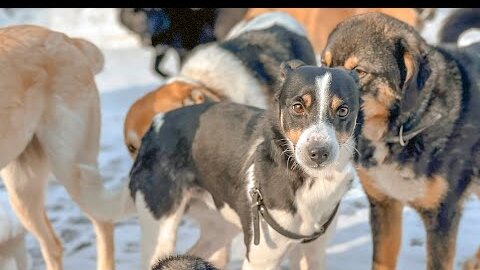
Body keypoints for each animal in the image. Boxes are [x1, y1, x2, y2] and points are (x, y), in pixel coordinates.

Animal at [129, 61, 358, 270]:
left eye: (343, 110)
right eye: (298, 107)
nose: (318, 153)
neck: (305, 179)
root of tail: (157, 124)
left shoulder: (312, 254)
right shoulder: (261, 260)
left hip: (219, 226)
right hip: (161, 230)